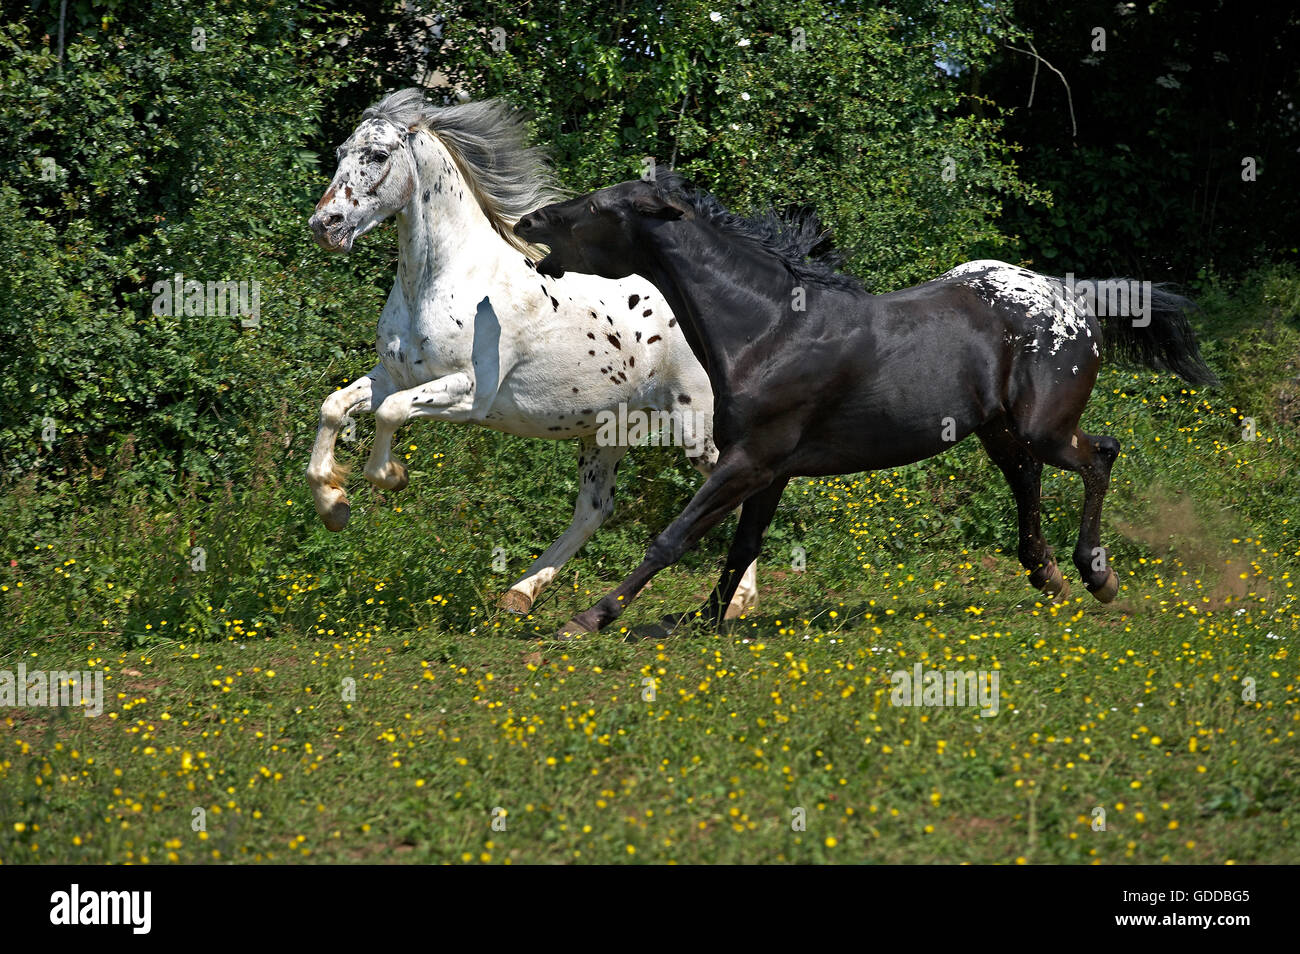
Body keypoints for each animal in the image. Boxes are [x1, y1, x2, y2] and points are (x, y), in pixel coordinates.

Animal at [509, 175, 1216, 639]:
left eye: (596, 208)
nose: (527, 222)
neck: (770, 331)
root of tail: (1070, 294)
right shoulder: (769, 468)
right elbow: (742, 544)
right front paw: (707, 618)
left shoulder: (750, 460)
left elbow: (674, 537)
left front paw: (589, 618)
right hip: (998, 430)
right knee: (1028, 479)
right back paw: (1049, 578)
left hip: (1043, 425)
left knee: (1100, 456)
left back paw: (1096, 575)